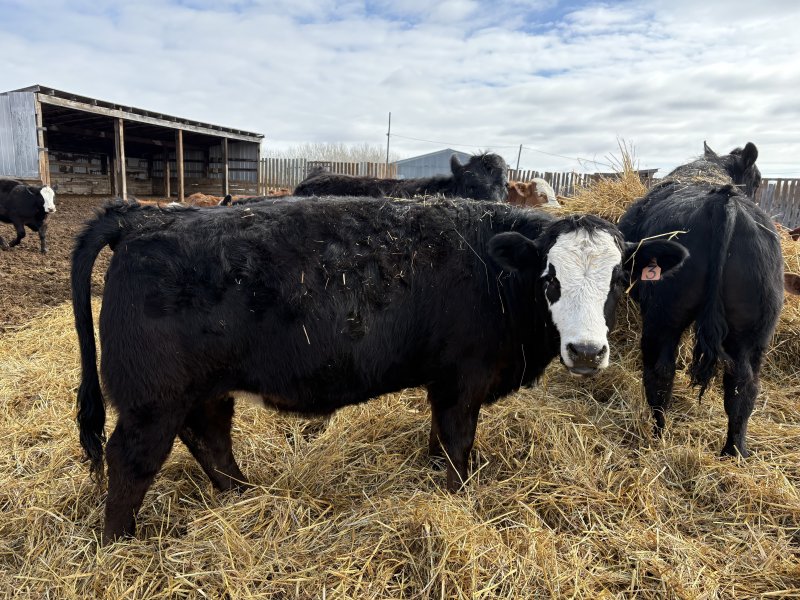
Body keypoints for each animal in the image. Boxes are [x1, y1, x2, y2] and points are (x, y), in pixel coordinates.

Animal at [72, 196, 686, 542]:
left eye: (617, 278)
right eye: (550, 277)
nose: (586, 351)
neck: (492, 272)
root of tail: (139, 219)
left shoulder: (444, 382)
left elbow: (439, 441)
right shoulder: (463, 380)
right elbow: (458, 446)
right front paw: (456, 499)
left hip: (201, 390)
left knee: (210, 439)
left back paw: (244, 498)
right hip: (152, 398)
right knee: (131, 461)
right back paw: (120, 545)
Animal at [618, 141, 783, 458]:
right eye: (757, 180)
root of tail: (723, 201)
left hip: (663, 316)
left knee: (661, 371)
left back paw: (659, 435)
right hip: (753, 328)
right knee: (743, 385)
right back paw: (734, 452)